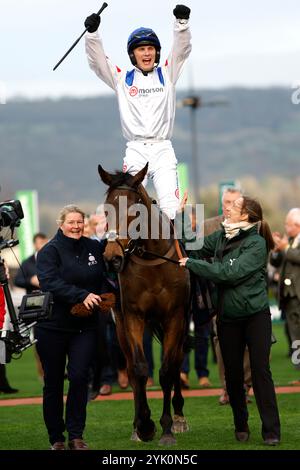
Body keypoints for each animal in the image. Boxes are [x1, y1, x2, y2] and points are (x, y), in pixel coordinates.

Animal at [98, 163, 191, 446]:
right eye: (106, 209)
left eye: (134, 210)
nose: (112, 257)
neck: (152, 261)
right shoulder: (132, 316)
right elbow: (139, 368)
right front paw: (145, 425)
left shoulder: (175, 317)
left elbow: (168, 369)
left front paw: (168, 427)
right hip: (120, 326)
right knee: (130, 367)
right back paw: (136, 425)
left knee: (177, 360)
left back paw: (179, 416)